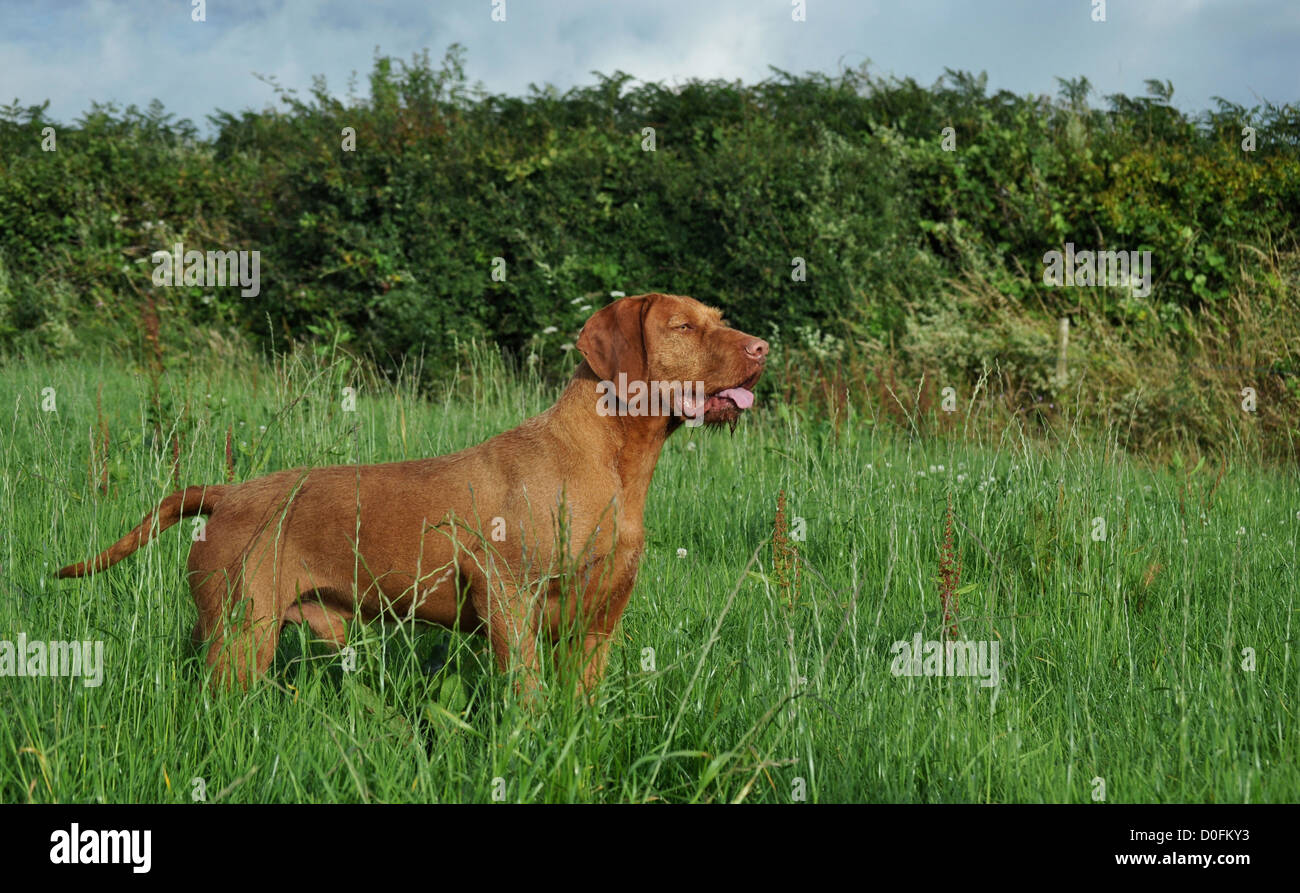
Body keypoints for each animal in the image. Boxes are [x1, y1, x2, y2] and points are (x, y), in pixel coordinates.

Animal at [61, 296, 764, 701]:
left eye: (723, 321)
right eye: (682, 326)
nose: (763, 346)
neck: (614, 465)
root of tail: (227, 493)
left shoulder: (598, 624)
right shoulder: (509, 602)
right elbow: (528, 701)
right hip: (242, 637)